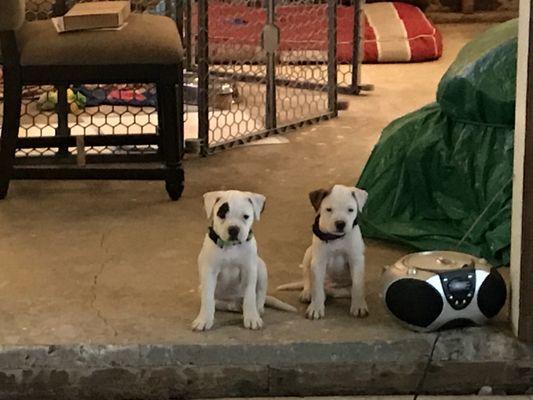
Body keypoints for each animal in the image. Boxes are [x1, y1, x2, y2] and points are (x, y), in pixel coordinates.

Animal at [192, 191, 296, 332]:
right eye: (221, 214)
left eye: (246, 216)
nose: (233, 229)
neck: (231, 247)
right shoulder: (209, 272)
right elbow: (208, 298)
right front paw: (203, 320)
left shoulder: (249, 270)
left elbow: (250, 296)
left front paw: (252, 318)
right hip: (201, 288)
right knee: (218, 302)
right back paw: (233, 306)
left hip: (261, 268)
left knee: (259, 296)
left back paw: (257, 310)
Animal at [276, 184, 368, 318]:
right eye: (329, 209)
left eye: (350, 210)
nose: (340, 223)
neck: (336, 238)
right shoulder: (318, 262)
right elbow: (317, 288)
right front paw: (315, 308)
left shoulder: (356, 260)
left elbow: (357, 286)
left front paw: (359, 306)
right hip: (308, 254)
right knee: (309, 280)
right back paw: (308, 293)